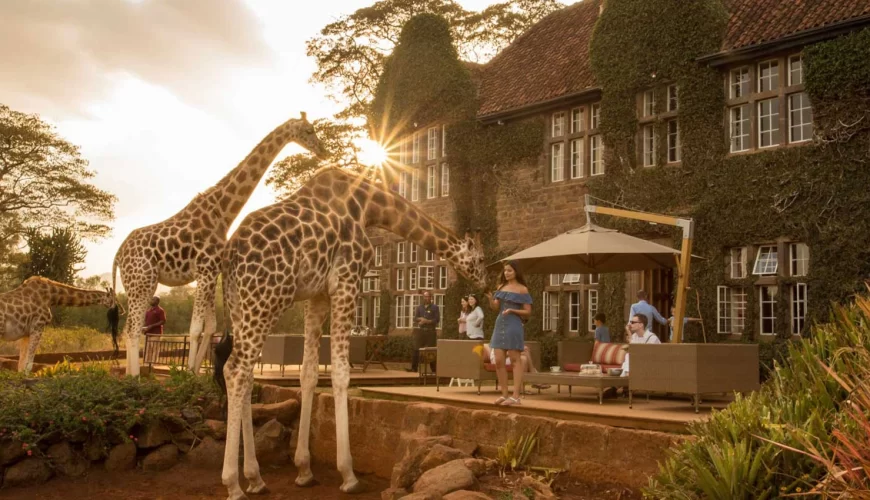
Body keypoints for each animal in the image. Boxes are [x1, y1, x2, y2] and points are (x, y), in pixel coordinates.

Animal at [112, 113, 326, 376]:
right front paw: (186, 374)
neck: (222, 213)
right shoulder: (204, 271)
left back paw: (131, 375)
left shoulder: (212, 272)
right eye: (309, 130)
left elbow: (210, 326)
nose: (323, 151)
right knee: (132, 328)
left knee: (130, 327)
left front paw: (195, 372)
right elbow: (195, 328)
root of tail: (118, 255)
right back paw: (135, 376)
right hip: (140, 281)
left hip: (144, 282)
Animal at [215, 167, 489, 499]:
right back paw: (233, 483)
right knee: (236, 370)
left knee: (244, 374)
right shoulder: (346, 282)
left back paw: (255, 478)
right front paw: (348, 474)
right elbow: (341, 372)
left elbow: (309, 373)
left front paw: (304, 470)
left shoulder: (317, 295)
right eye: (481, 259)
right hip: (267, 299)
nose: (487, 285)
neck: (369, 208)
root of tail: (229, 256)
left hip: (239, 305)